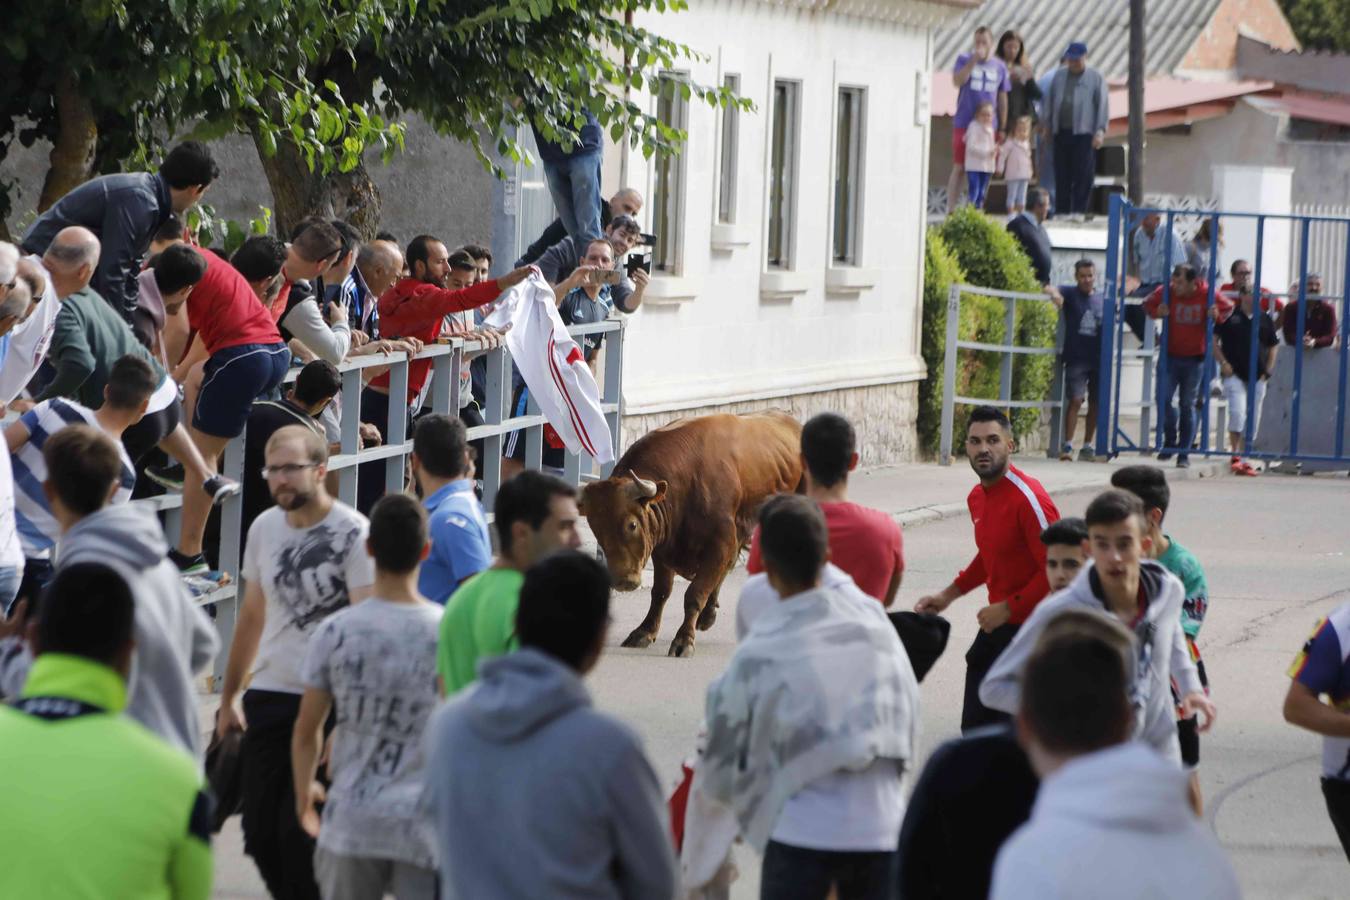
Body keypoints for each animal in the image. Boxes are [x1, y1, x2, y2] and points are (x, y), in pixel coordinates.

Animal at [580, 412, 799, 658]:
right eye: (596, 528)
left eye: (632, 525)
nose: (623, 582)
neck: (685, 483)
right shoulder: (663, 550)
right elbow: (661, 592)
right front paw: (644, 631)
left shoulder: (720, 545)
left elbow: (694, 595)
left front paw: (684, 640)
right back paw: (708, 616)